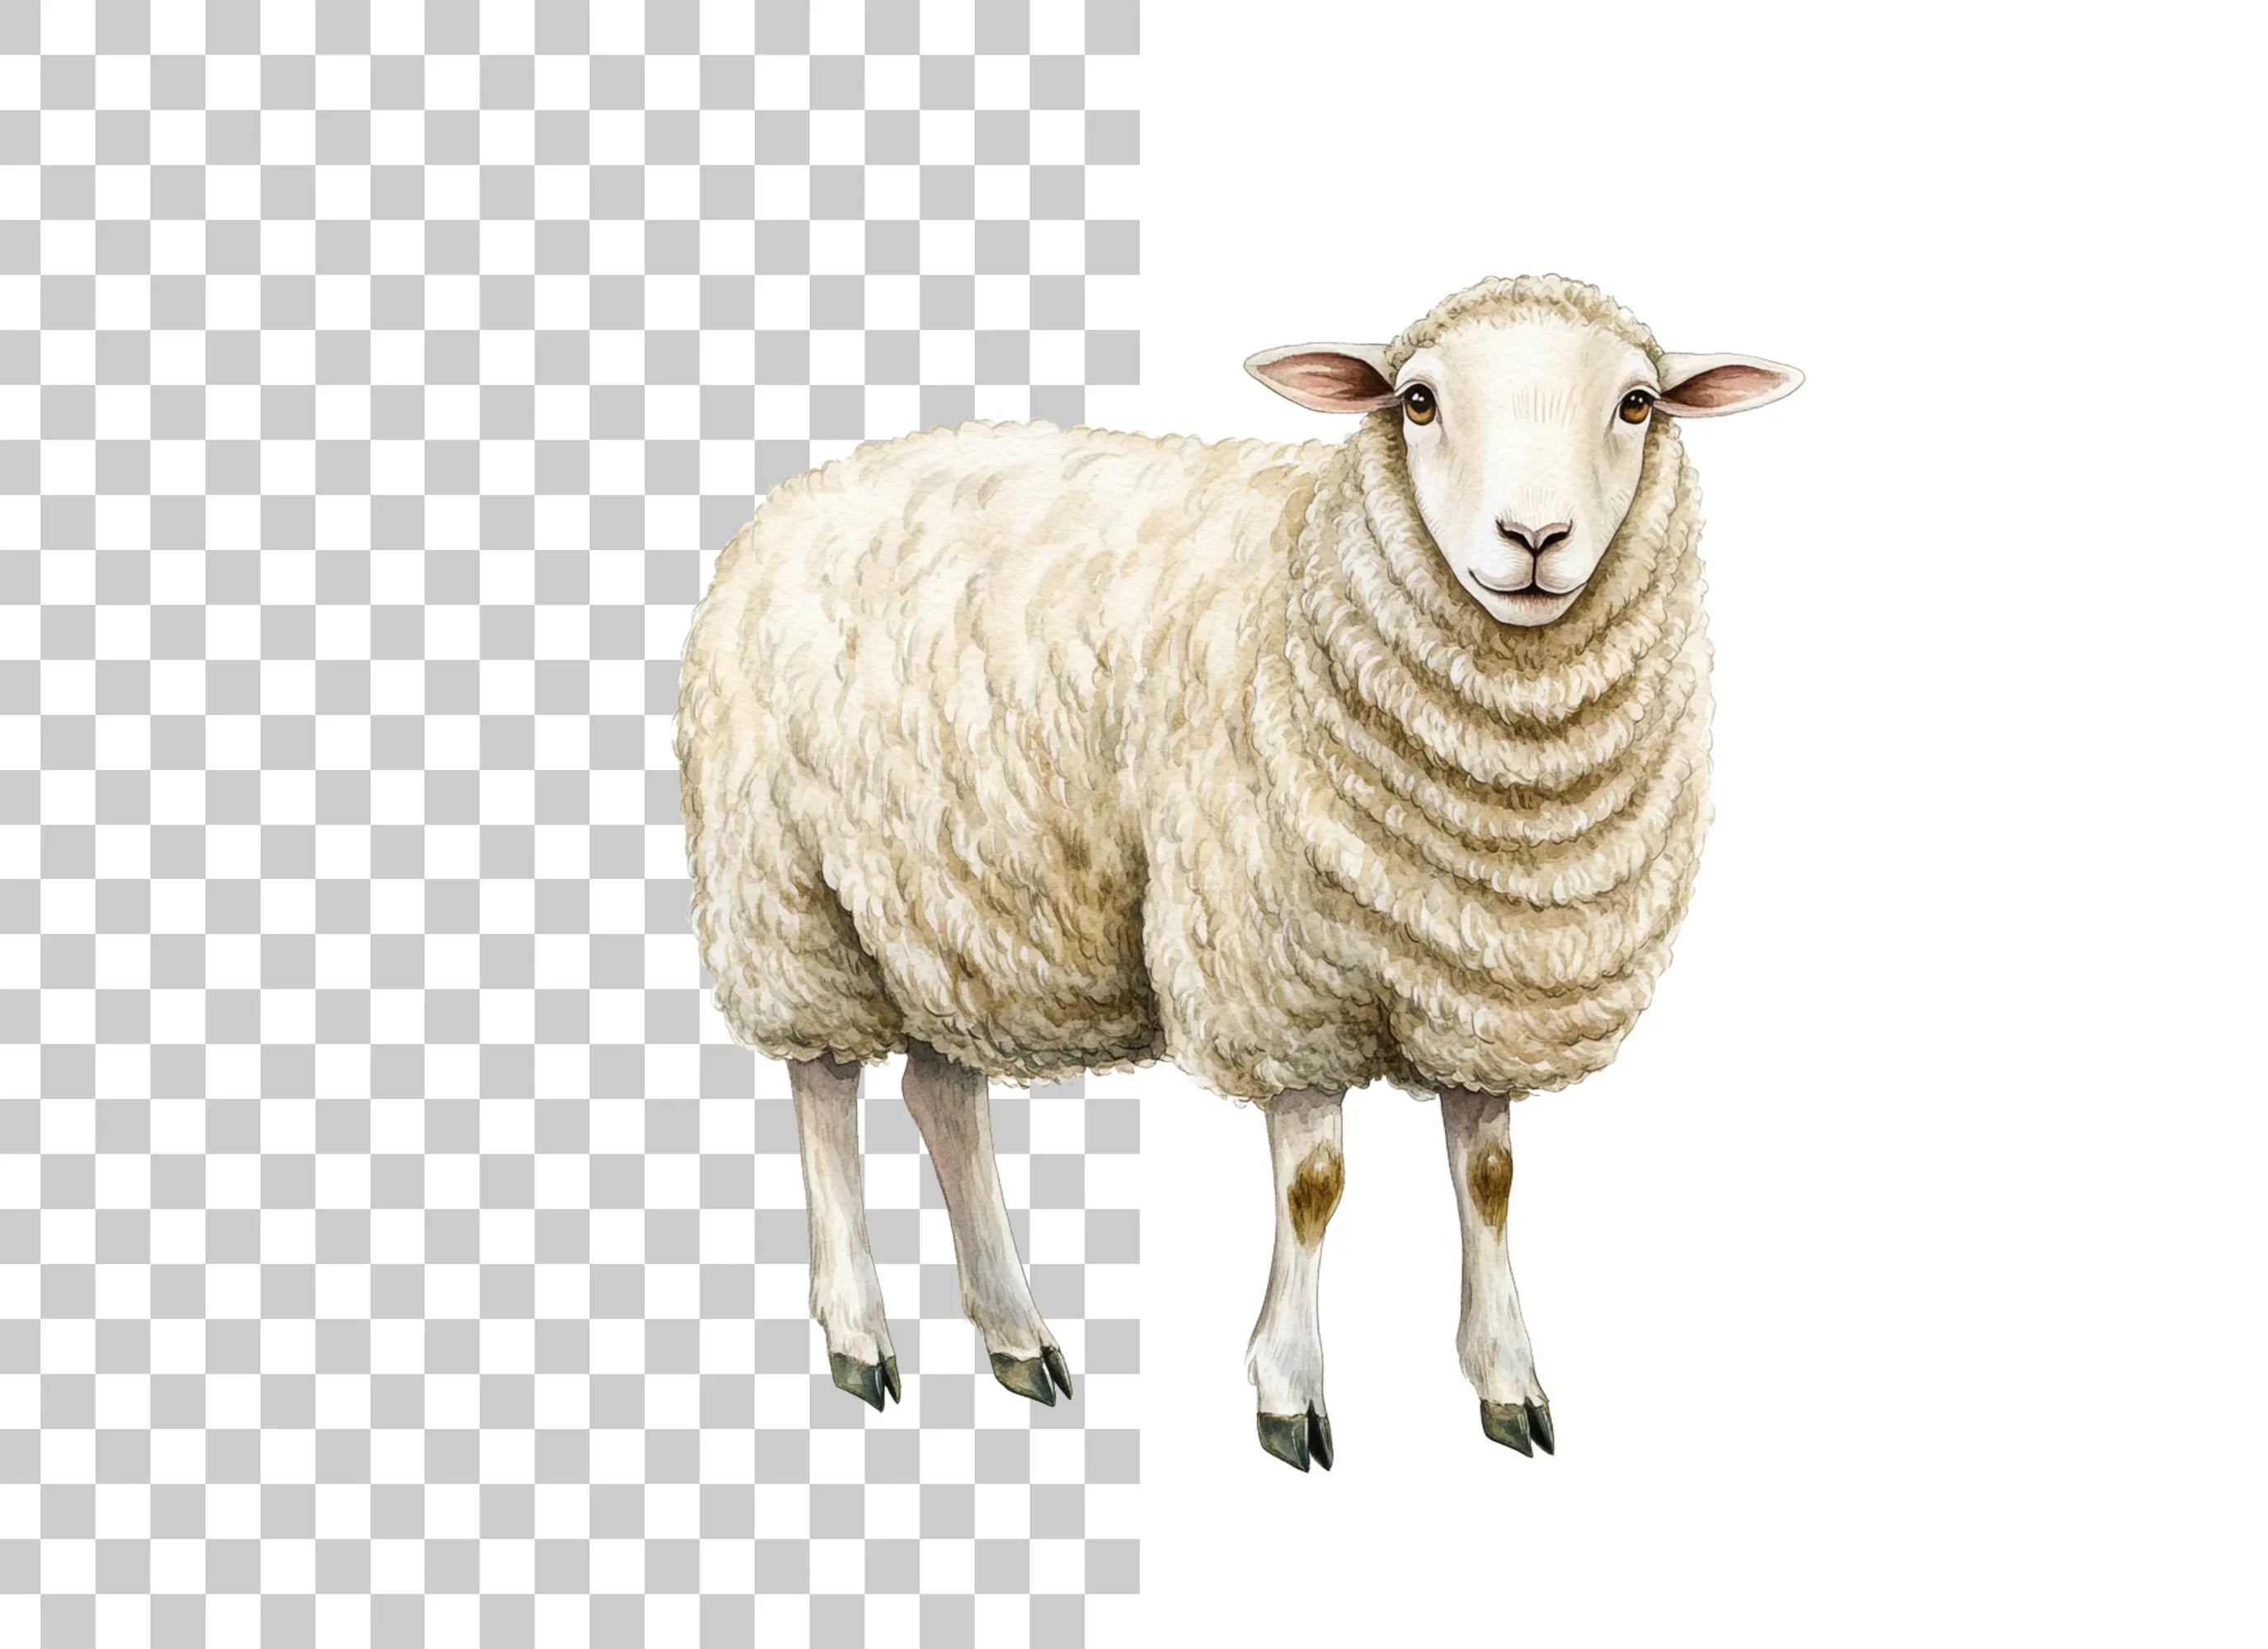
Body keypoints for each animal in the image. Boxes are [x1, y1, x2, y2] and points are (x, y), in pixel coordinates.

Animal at [675, 274, 1802, 1467]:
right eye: (1416, 401)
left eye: (1635, 402)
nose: (1532, 537)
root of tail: (799, 492)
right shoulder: (1276, 975)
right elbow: (1313, 1188)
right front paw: (1286, 1391)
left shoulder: (1481, 979)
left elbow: (1490, 1181)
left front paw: (1506, 1383)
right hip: (786, 894)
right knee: (823, 1090)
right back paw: (858, 1334)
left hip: (955, 912)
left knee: (940, 1092)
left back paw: (1015, 1335)